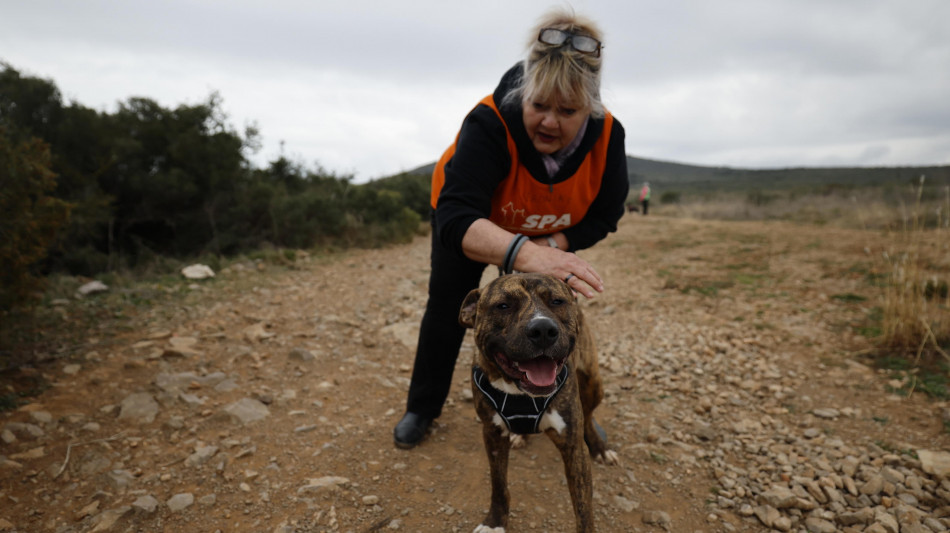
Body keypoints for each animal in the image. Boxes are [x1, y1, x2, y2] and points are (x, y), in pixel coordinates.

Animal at [460, 274, 620, 532]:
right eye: (503, 305)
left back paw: (600, 448)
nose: (543, 329)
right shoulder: (492, 435)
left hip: (594, 384)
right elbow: (498, 485)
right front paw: (494, 522)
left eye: (556, 301)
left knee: (588, 417)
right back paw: (521, 435)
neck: (520, 393)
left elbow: (584, 508)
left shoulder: (573, 448)